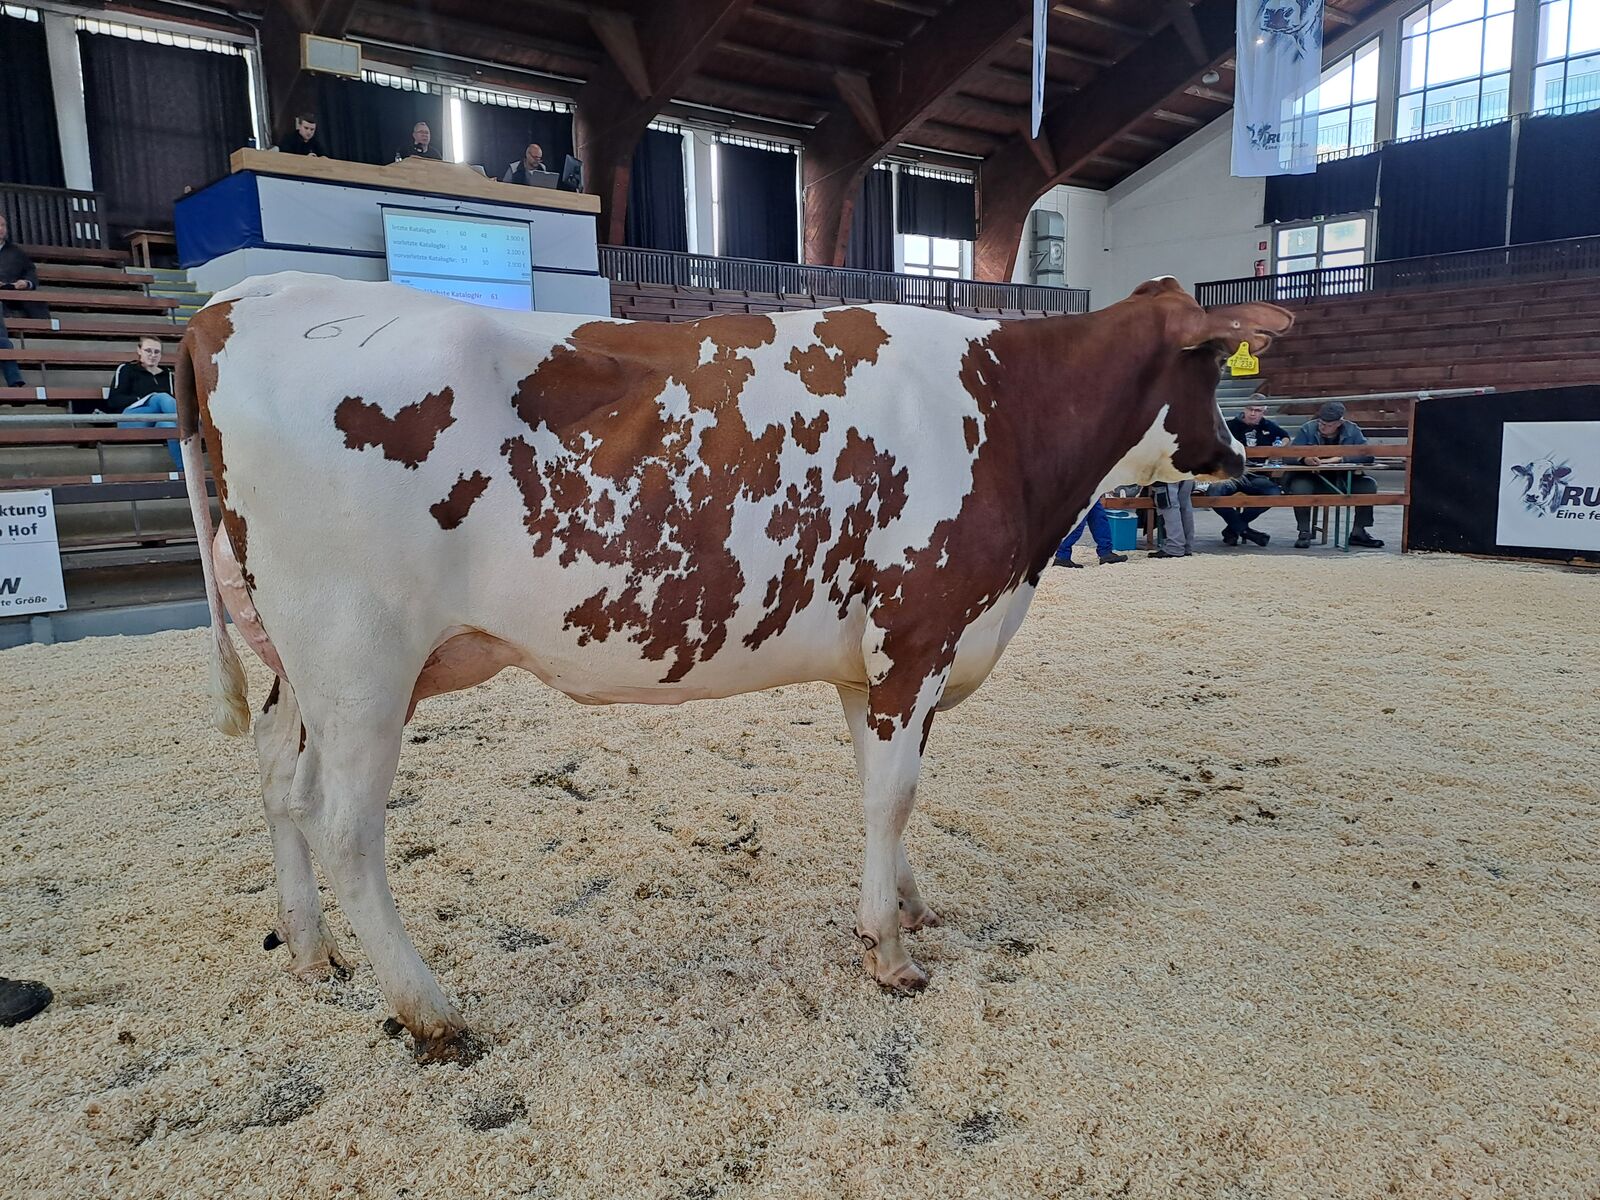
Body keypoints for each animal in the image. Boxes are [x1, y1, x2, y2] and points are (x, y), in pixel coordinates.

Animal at [175, 272, 1292, 1062]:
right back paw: (429, 1009)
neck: (1005, 417)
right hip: (358, 653)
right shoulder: (920, 636)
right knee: (346, 827)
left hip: (303, 664)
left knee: (277, 778)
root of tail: (241, 299)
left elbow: (884, 788)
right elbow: (893, 793)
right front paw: (889, 952)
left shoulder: (868, 664)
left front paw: (906, 903)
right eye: (1212, 366)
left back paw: (312, 953)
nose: (1239, 456)